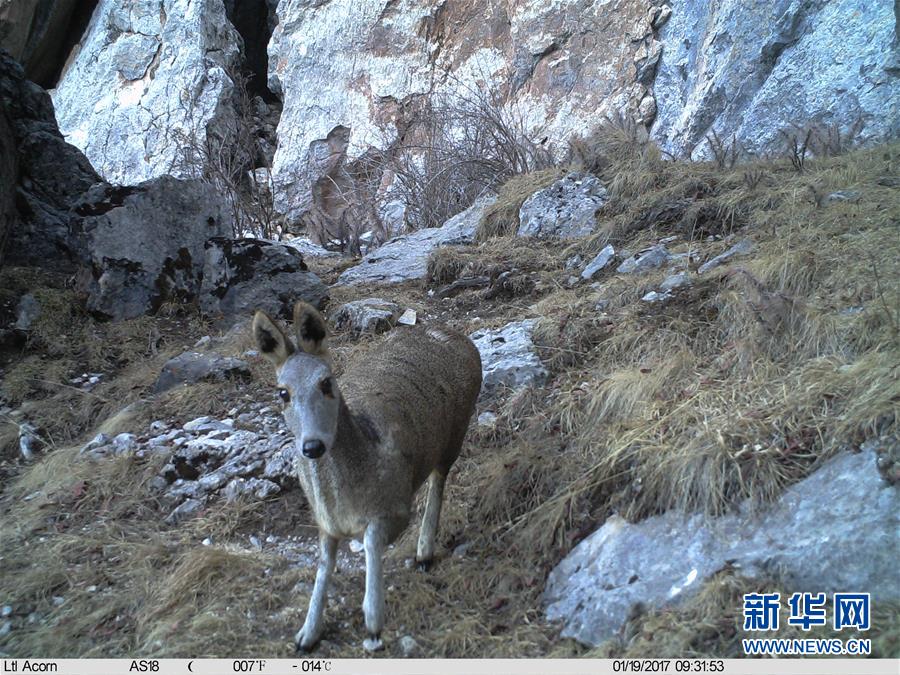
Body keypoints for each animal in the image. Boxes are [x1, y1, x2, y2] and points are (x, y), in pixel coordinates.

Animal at [251, 304, 486, 652]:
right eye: (283, 393)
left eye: (326, 382)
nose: (312, 446)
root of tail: (459, 337)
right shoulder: (324, 522)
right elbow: (323, 564)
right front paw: (307, 633)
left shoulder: (396, 504)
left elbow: (372, 541)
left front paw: (374, 622)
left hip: (455, 432)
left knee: (439, 480)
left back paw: (424, 552)